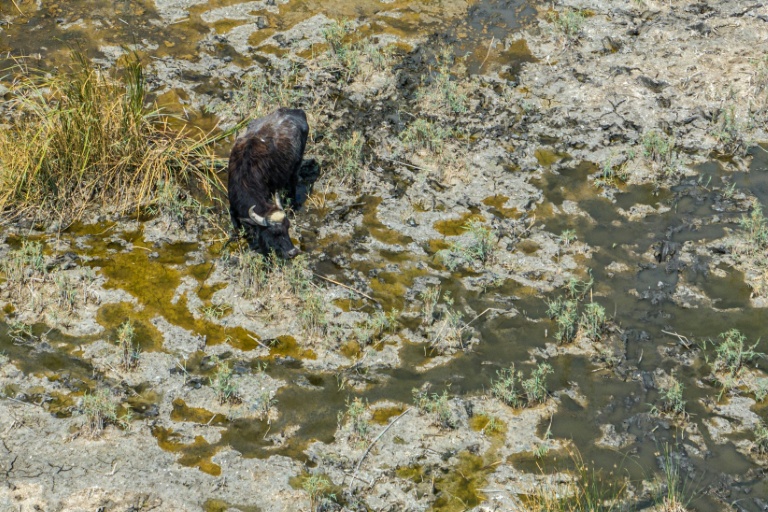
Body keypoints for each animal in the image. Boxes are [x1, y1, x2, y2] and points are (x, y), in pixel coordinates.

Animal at [227, 108, 309, 259]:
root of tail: (296, 111)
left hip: (297, 165)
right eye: (275, 233)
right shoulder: (233, 208)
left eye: (288, 227)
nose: (293, 252)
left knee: (293, 184)